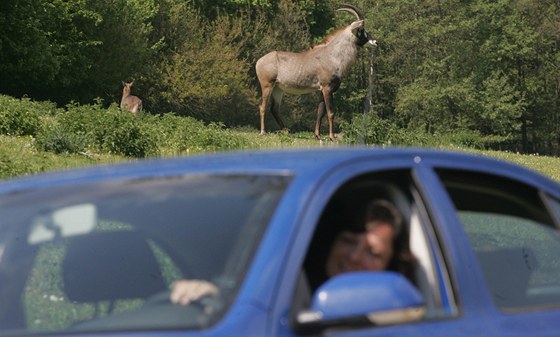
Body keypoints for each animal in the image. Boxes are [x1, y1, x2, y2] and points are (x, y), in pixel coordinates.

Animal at [258, 4, 376, 140]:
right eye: (361, 30)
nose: (375, 42)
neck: (332, 55)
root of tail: (259, 61)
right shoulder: (327, 88)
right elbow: (330, 112)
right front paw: (332, 137)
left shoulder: (322, 89)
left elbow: (320, 112)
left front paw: (318, 135)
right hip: (267, 85)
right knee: (263, 106)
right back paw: (263, 132)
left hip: (278, 89)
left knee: (274, 109)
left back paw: (286, 131)